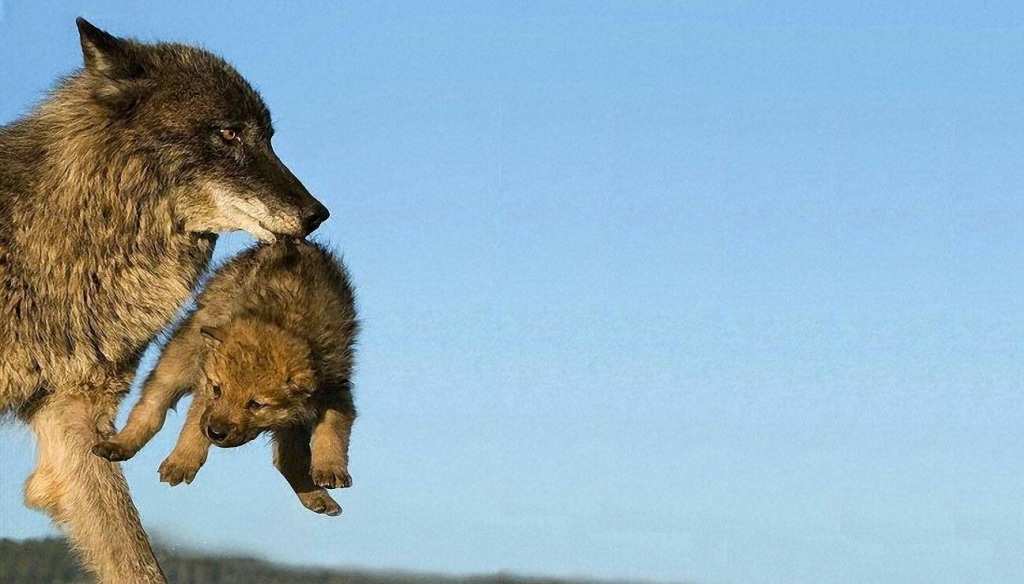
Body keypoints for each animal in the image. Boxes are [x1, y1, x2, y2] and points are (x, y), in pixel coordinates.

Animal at [93, 239, 359, 517]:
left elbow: (333, 428)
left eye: (255, 404)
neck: (284, 321)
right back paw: (120, 443)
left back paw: (318, 498)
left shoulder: (335, 387)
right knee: (150, 408)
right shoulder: (204, 387)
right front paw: (182, 460)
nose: (215, 433)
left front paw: (330, 467)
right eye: (217, 390)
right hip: (181, 357)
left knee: (286, 459)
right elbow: (193, 423)